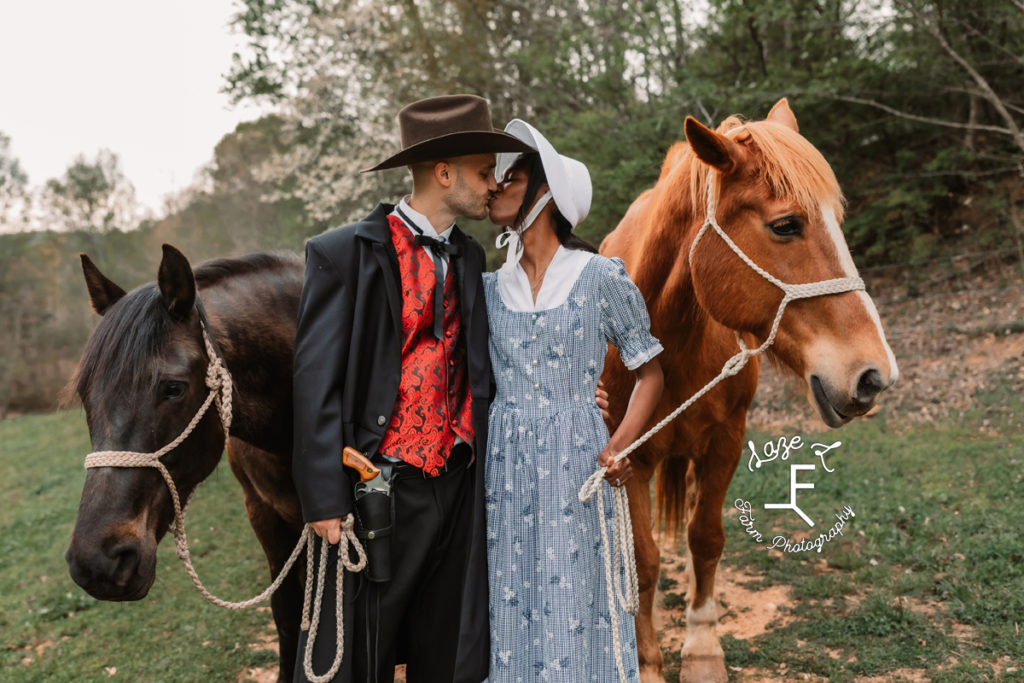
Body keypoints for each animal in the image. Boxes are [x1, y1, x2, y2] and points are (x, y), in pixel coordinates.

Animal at [602, 98, 901, 679]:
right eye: (785, 225)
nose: (873, 376)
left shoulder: (726, 440)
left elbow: (705, 538)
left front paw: (702, 647)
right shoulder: (631, 457)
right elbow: (644, 562)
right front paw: (647, 662)